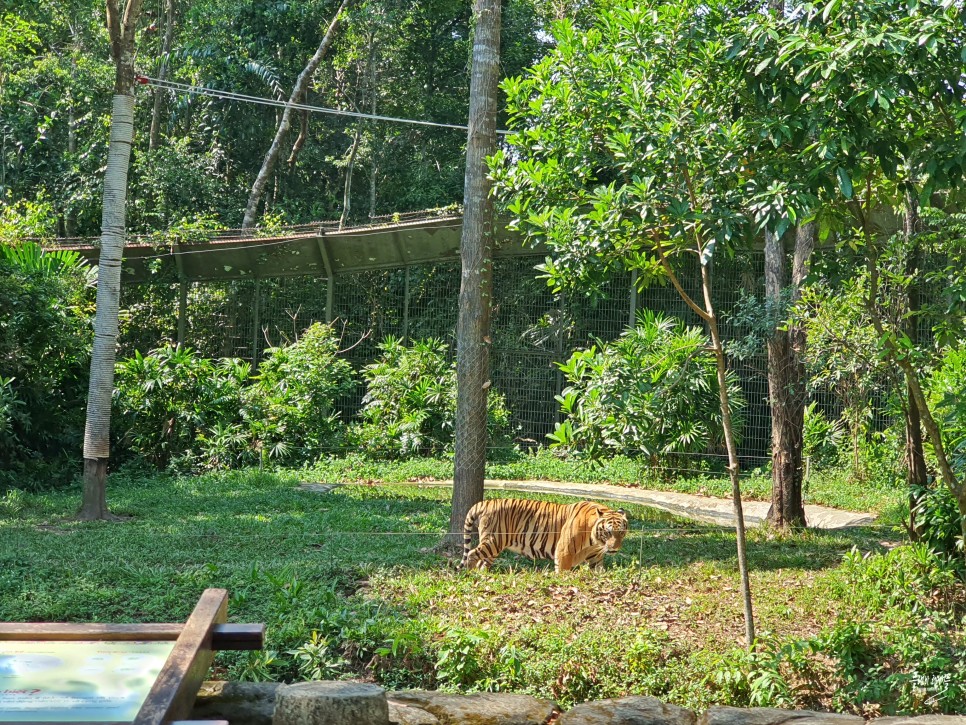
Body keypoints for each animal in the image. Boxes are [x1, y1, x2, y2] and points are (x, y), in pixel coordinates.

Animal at [460, 498, 628, 572]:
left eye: (621, 532)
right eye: (608, 532)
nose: (614, 548)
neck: (595, 542)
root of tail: (485, 503)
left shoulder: (595, 557)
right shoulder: (564, 552)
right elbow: (562, 572)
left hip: (494, 547)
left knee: (482, 563)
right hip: (493, 540)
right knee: (472, 554)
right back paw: (471, 574)